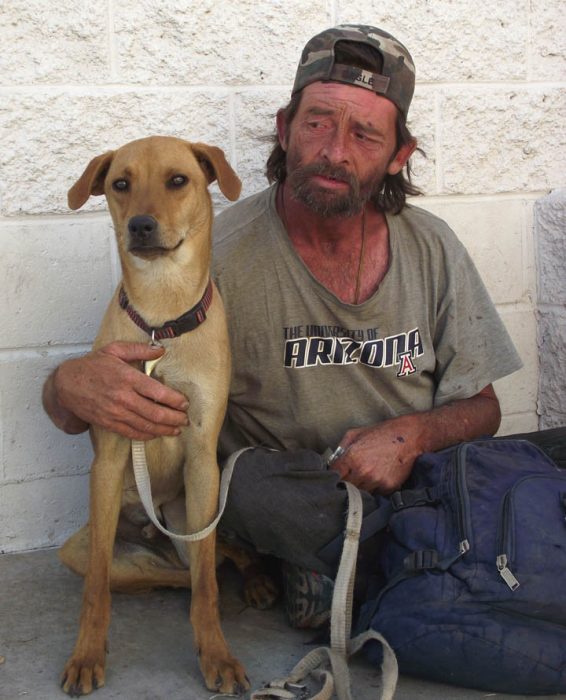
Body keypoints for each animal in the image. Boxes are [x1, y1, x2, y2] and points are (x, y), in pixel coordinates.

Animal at [60, 135, 248, 696]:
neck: (162, 320)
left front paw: (216, 653)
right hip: (85, 544)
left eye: (178, 180)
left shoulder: (204, 461)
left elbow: (206, 583)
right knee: (154, 574)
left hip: (192, 518)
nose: (140, 225)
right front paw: (87, 654)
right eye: (120, 183)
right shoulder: (111, 455)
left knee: (210, 564)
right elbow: (97, 588)